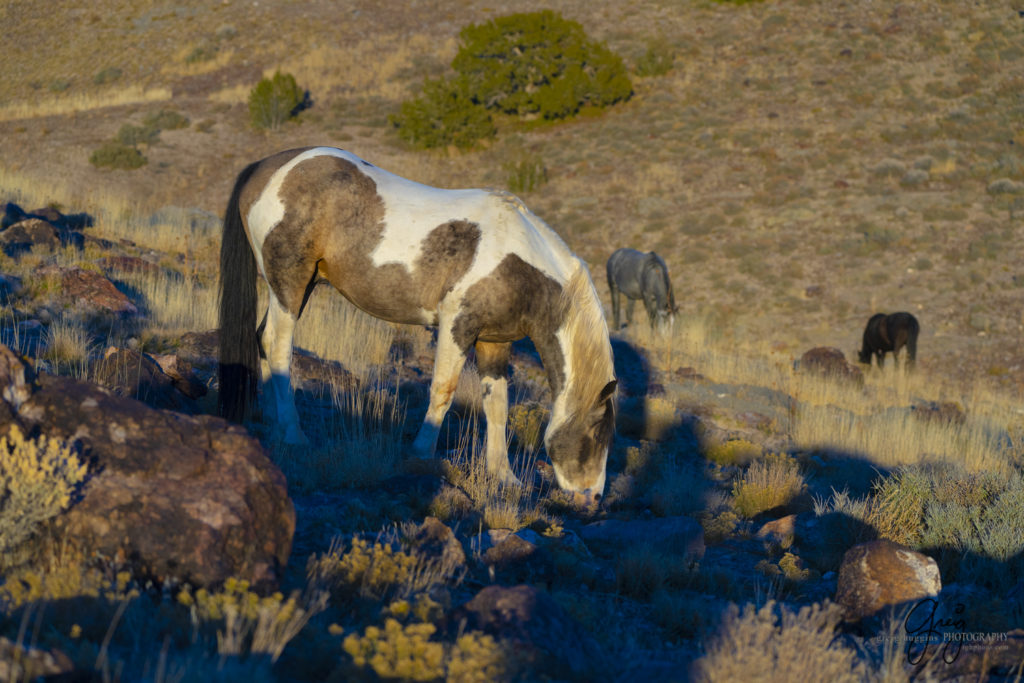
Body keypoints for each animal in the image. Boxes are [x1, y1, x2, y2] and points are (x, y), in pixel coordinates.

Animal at [218, 145, 614, 507]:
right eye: (598, 433)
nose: (593, 498)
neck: (517, 262)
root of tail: (268, 166)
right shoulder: (458, 327)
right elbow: (443, 390)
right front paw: (421, 452)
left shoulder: (494, 342)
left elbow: (497, 405)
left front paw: (505, 476)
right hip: (289, 283)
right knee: (278, 348)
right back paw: (293, 434)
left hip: (299, 286)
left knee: (263, 340)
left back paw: (272, 424)